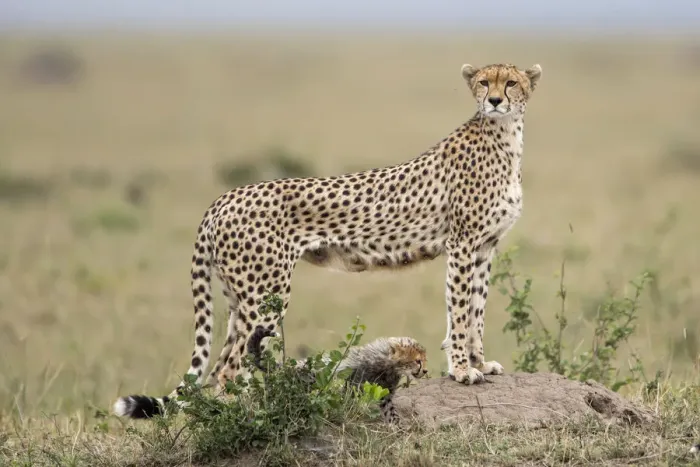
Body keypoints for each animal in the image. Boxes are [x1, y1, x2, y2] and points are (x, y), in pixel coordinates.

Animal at [113, 62, 542, 419]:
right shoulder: (462, 245)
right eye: (484, 81)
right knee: (230, 370)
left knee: (220, 365)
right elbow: (461, 311)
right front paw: (462, 370)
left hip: (239, 299)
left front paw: (480, 363)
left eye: (511, 83)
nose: (495, 101)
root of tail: (225, 197)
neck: (505, 137)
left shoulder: (484, 247)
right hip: (265, 296)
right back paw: (248, 416)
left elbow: (476, 311)